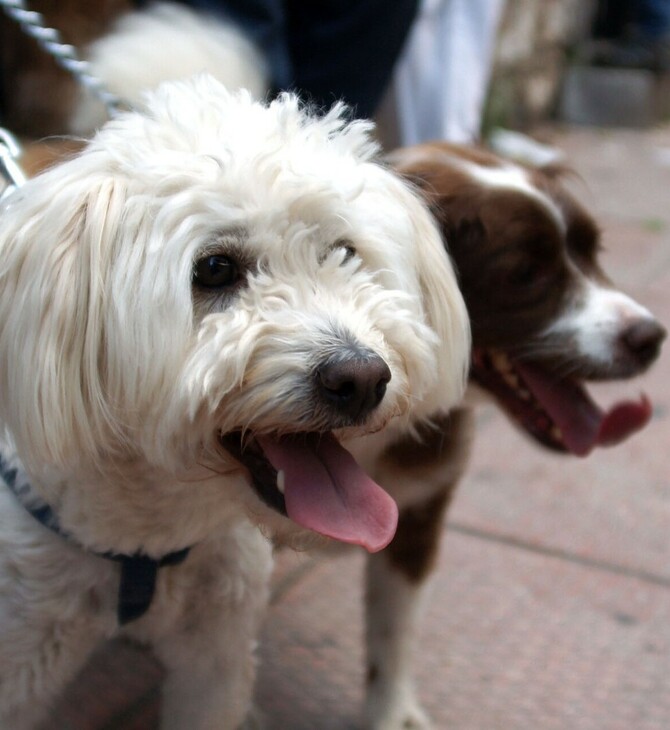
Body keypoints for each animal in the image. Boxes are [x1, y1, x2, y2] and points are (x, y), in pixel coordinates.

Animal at [0, 75, 472, 728]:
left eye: (345, 253)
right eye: (215, 268)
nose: (361, 379)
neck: (148, 539)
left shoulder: (216, 650)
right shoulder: (21, 649)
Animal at [352, 139, 668, 724]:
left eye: (594, 251)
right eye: (524, 273)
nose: (652, 338)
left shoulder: (417, 518)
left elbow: (392, 637)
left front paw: (389, 713)